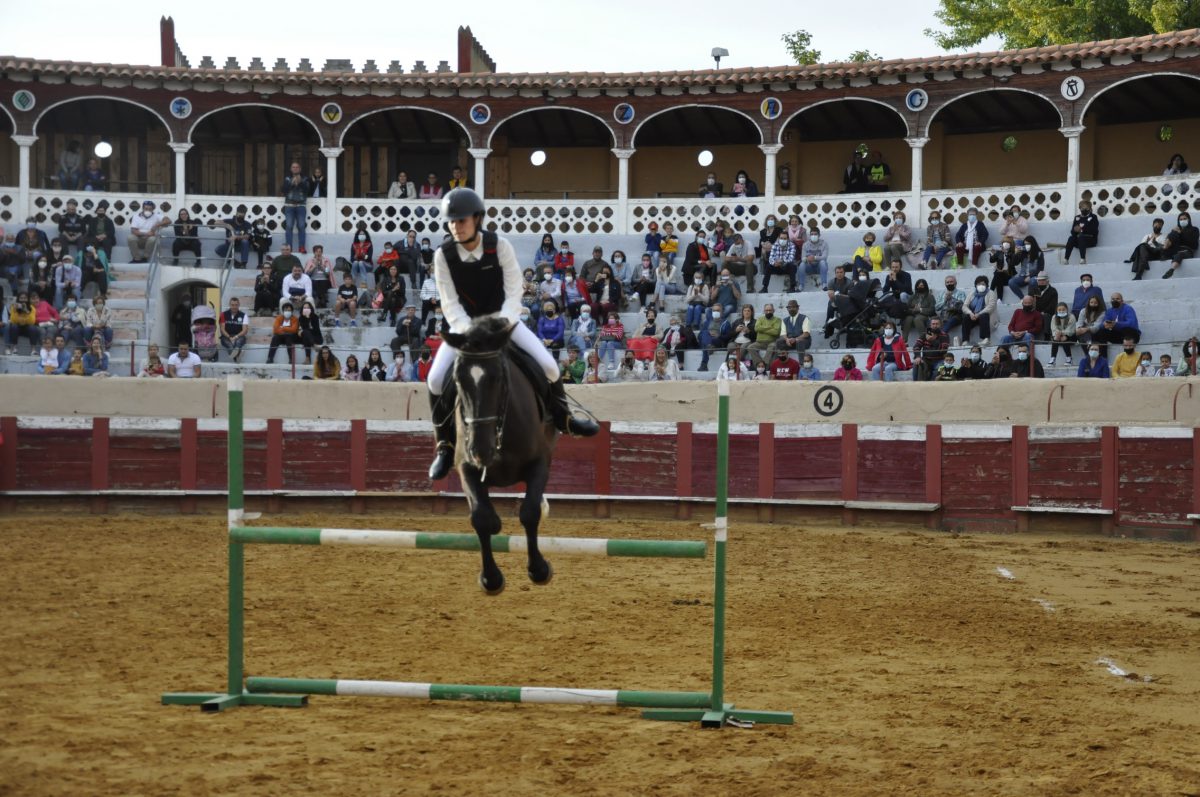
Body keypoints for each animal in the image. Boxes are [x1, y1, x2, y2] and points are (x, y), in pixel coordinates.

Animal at [441, 316, 556, 590]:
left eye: (498, 378)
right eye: (458, 380)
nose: (481, 450)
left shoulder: (539, 462)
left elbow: (529, 512)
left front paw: (539, 569)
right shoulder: (466, 466)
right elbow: (481, 518)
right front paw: (490, 578)